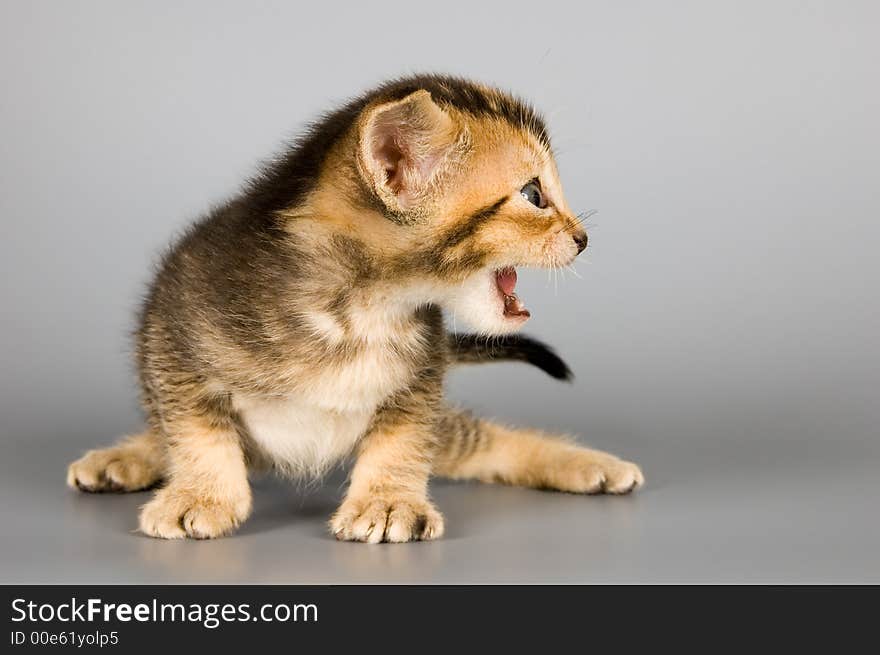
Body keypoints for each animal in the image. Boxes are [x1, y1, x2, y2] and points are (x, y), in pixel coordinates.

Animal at [67, 74, 640, 544]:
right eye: (534, 195)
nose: (583, 239)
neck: (359, 311)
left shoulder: (420, 379)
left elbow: (404, 439)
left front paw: (387, 502)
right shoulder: (174, 329)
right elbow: (196, 431)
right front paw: (200, 495)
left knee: (481, 440)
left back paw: (587, 464)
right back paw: (126, 456)